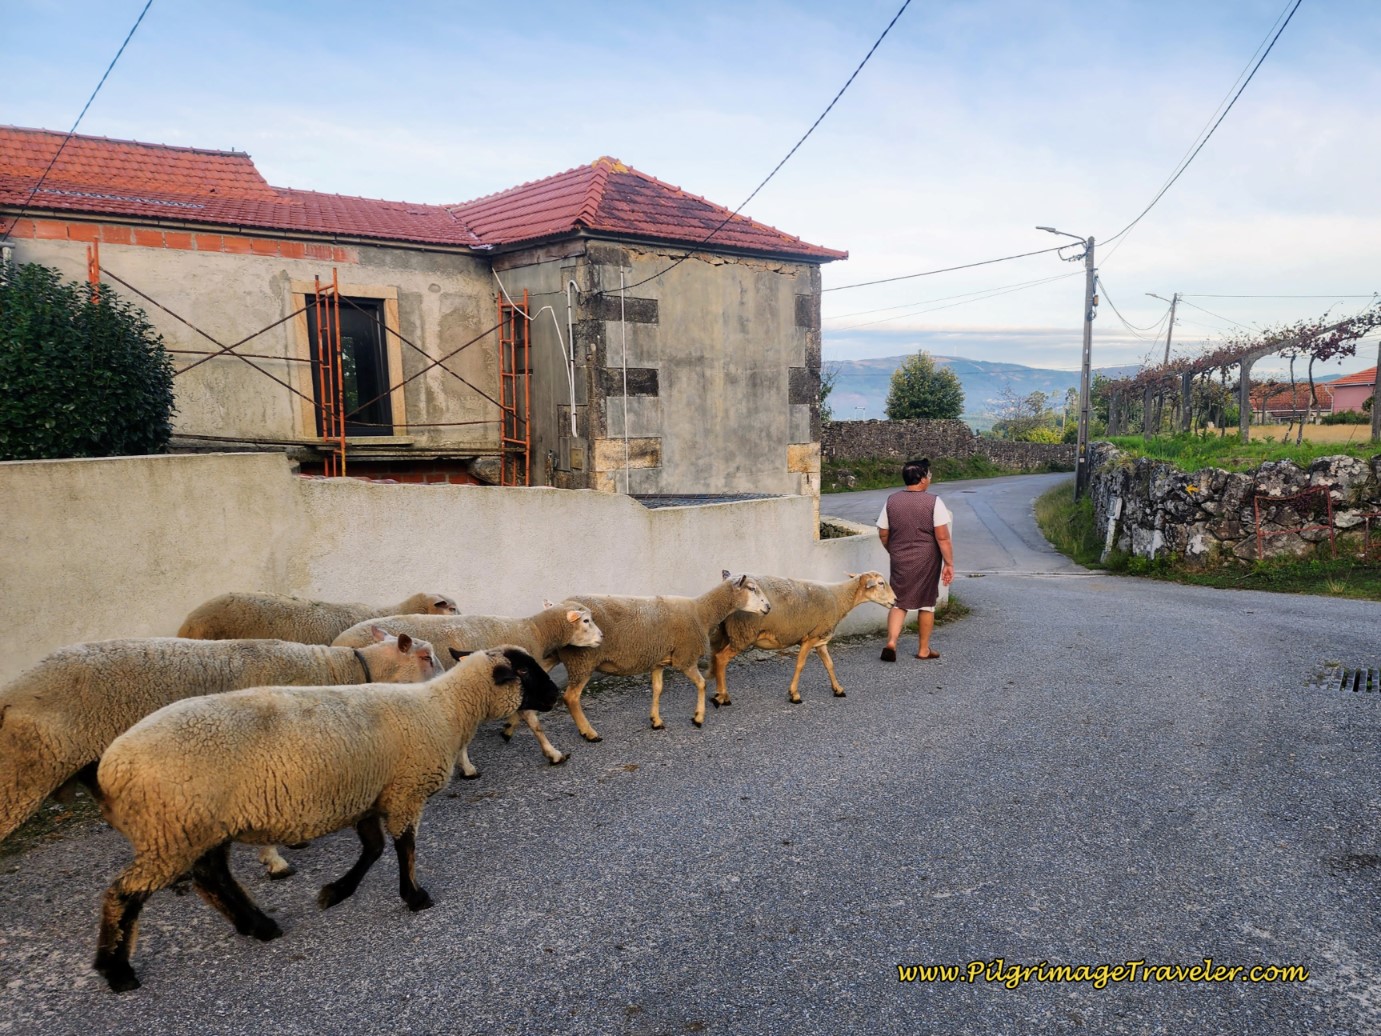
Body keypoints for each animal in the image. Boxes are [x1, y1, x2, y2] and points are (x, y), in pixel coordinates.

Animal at [0, 630, 441, 880]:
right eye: (424, 657)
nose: (443, 686)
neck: (340, 673)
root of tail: (13, 689)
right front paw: (276, 861)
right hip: (26, 766)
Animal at [92, 646, 559, 993]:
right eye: (525, 670)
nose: (556, 696)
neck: (445, 710)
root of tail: (111, 769)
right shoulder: (404, 793)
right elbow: (405, 848)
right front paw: (415, 896)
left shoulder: (369, 797)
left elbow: (373, 850)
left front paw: (336, 892)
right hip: (173, 829)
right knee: (125, 893)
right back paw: (117, 971)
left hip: (195, 828)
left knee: (212, 878)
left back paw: (257, 925)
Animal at [333, 602, 604, 770]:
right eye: (586, 621)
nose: (602, 638)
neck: (534, 629)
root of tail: (338, 642)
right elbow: (533, 721)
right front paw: (553, 753)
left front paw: (509, 730)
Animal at [557, 571, 772, 741]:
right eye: (752, 588)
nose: (768, 607)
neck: (702, 612)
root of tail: (558, 606)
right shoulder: (685, 658)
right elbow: (702, 684)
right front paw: (698, 717)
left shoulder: (658, 660)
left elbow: (658, 689)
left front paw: (656, 721)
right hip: (582, 660)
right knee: (571, 698)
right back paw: (589, 733)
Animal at [709, 571, 897, 706]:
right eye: (881, 583)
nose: (895, 600)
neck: (840, 598)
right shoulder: (810, 638)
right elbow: (800, 665)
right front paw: (794, 695)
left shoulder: (820, 639)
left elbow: (830, 664)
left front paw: (838, 689)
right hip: (743, 633)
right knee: (721, 658)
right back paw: (724, 697)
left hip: (727, 633)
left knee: (716, 658)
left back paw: (718, 693)